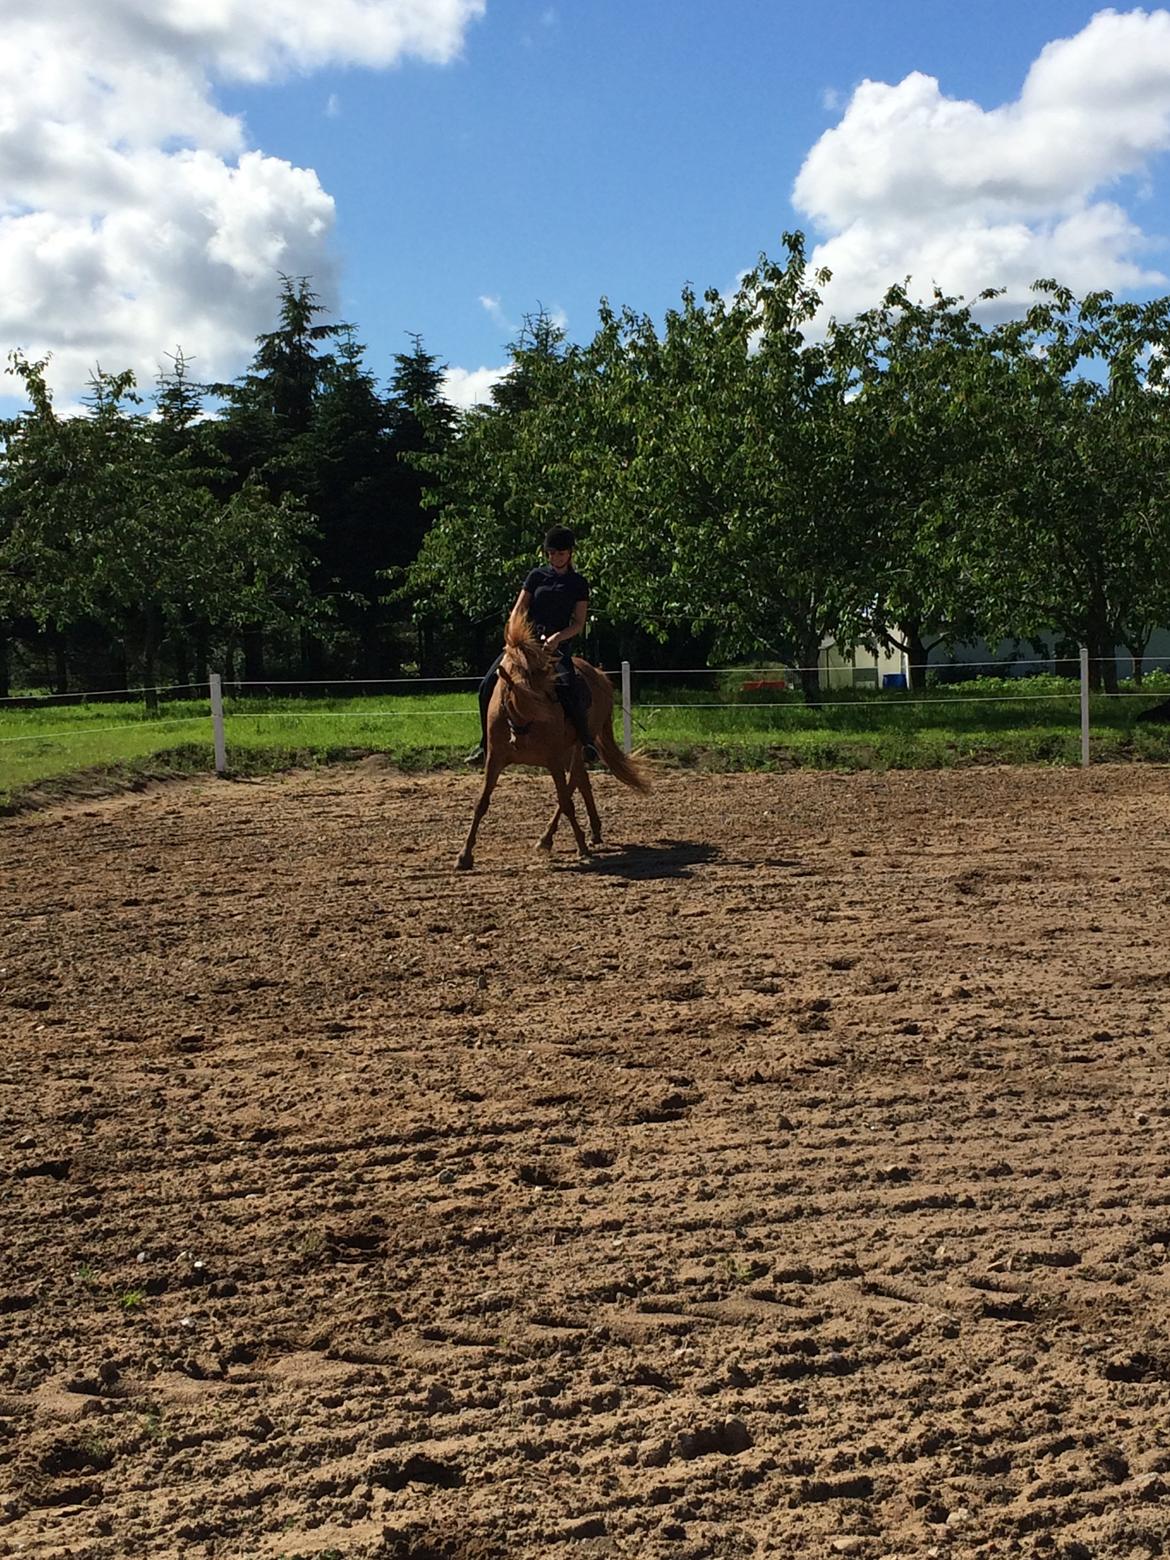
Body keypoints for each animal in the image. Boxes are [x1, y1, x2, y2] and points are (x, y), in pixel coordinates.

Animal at [455, 608, 652, 873]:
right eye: (520, 695)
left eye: (550, 692)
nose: (552, 720)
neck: (520, 725)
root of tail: (599, 674)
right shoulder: (495, 759)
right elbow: (481, 803)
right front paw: (464, 855)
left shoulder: (553, 759)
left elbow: (566, 800)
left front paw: (582, 848)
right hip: (570, 751)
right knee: (582, 781)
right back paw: (593, 831)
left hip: (576, 747)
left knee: (574, 783)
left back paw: (549, 839)